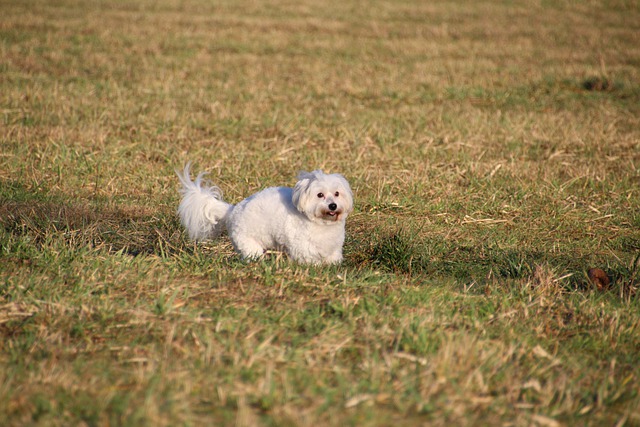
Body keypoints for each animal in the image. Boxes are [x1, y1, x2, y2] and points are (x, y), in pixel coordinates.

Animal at [178, 164, 352, 264]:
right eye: (320, 195)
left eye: (337, 193)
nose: (333, 205)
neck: (321, 223)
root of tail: (232, 210)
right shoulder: (302, 248)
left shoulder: (333, 247)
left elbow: (333, 258)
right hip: (248, 242)